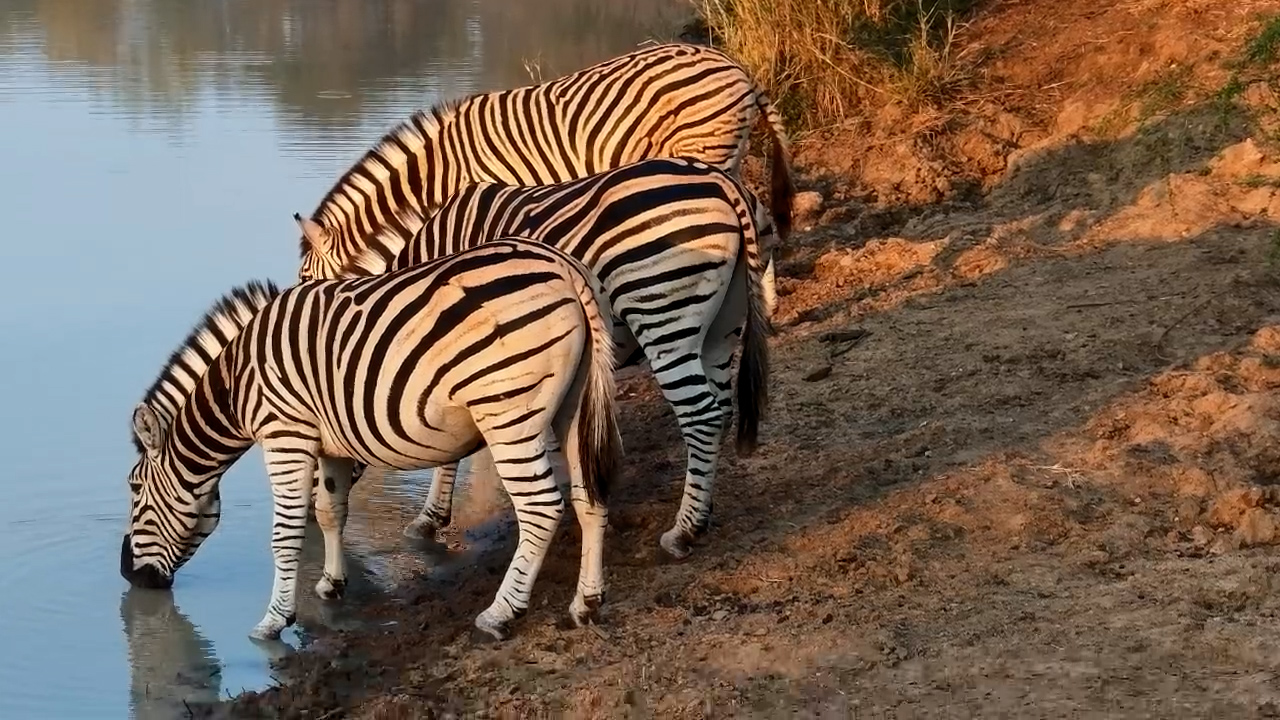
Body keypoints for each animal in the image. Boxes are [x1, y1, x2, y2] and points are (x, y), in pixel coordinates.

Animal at [120, 239, 622, 642]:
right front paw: (331, 585)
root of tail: (564, 267)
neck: (237, 385)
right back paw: (586, 603)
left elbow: (285, 534)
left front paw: (273, 622)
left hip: (507, 413)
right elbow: (330, 512)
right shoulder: (330, 444)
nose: (128, 575)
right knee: (589, 497)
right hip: (572, 407)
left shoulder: (286, 435)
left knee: (541, 507)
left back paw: (500, 614)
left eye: (134, 490)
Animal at [334, 157, 772, 561]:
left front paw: (429, 520)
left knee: (702, 415)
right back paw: (703, 512)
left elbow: (452, 454)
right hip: (723, 327)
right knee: (722, 409)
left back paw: (684, 531)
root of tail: (718, 180)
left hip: (662, 313)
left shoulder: (463, 364)